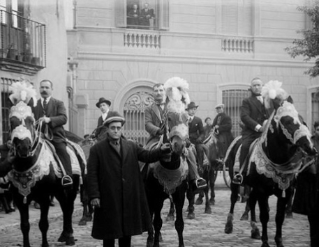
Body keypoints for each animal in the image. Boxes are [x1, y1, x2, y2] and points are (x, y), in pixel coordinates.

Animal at [8, 99, 86, 247]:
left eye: (31, 121)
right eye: (12, 122)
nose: (23, 148)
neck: (26, 164)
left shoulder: (44, 198)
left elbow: (43, 224)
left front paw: (45, 244)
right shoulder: (20, 199)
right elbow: (24, 226)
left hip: (71, 188)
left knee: (69, 208)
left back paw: (70, 237)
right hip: (59, 191)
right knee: (65, 208)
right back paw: (64, 235)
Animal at [224, 99, 318, 247]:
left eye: (302, 120)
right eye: (287, 121)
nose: (310, 147)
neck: (276, 160)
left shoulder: (285, 192)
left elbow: (279, 218)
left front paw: (279, 241)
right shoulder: (262, 191)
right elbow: (264, 216)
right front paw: (265, 242)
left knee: (251, 201)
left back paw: (254, 229)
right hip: (235, 180)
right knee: (233, 199)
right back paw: (229, 225)